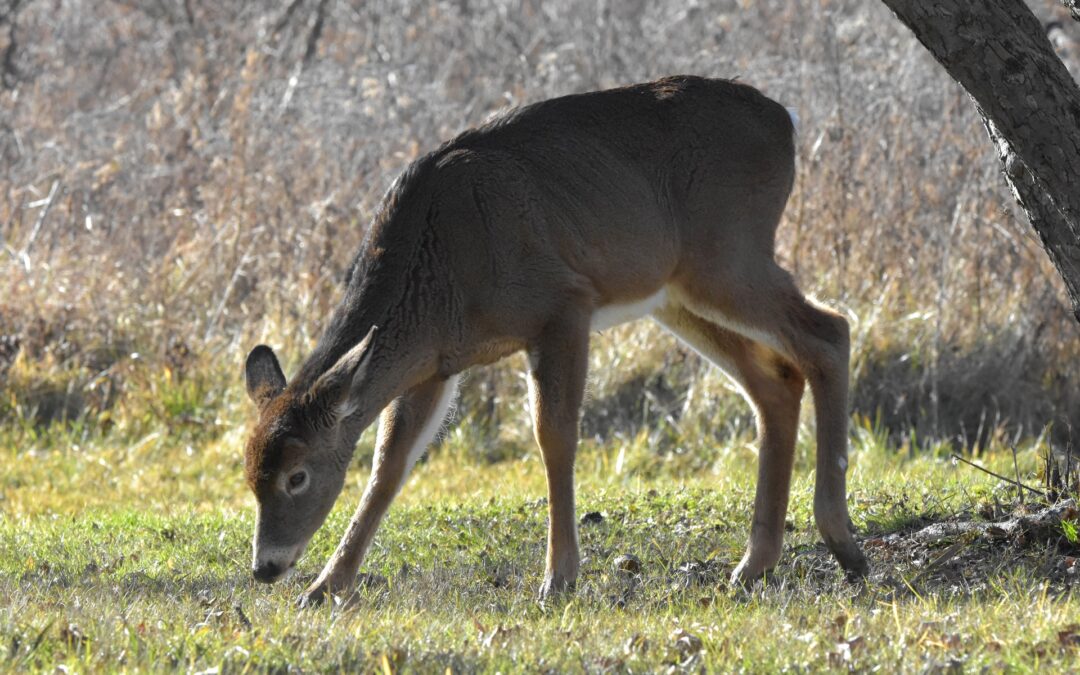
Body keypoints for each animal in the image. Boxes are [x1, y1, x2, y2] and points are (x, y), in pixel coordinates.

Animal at [245, 75, 868, 604]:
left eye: (297, 476)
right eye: (250, 476)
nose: (265, 567)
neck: (438, 266)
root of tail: (785, 121)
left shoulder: (562, 305)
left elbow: (555, 436)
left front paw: (559, 578)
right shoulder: (435, 362)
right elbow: (388, 465)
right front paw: (325, 587)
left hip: (728, 253)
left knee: (830, 330)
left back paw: (844, 544)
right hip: (677, 292)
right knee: (777, 380)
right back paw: (754, 564)